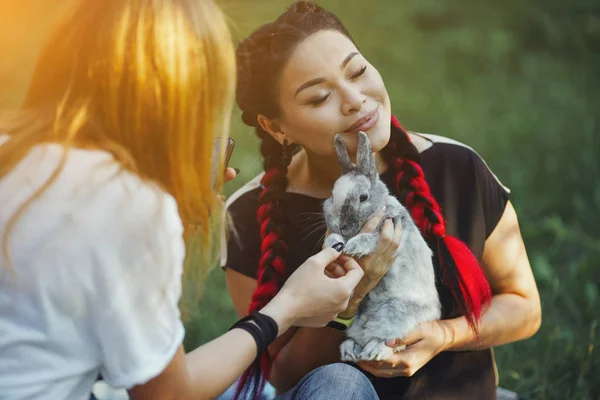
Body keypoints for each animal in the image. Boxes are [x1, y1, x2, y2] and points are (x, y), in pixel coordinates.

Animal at [324, 131, 440, 362]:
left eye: (363, 197)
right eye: (332, 195)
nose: (340, 224)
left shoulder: (395, 230)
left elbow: (372, 238)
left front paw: (354, 246)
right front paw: (333, 242)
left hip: (397, 314)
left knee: (394, 342)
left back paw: (374, 351)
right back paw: (350, 350)